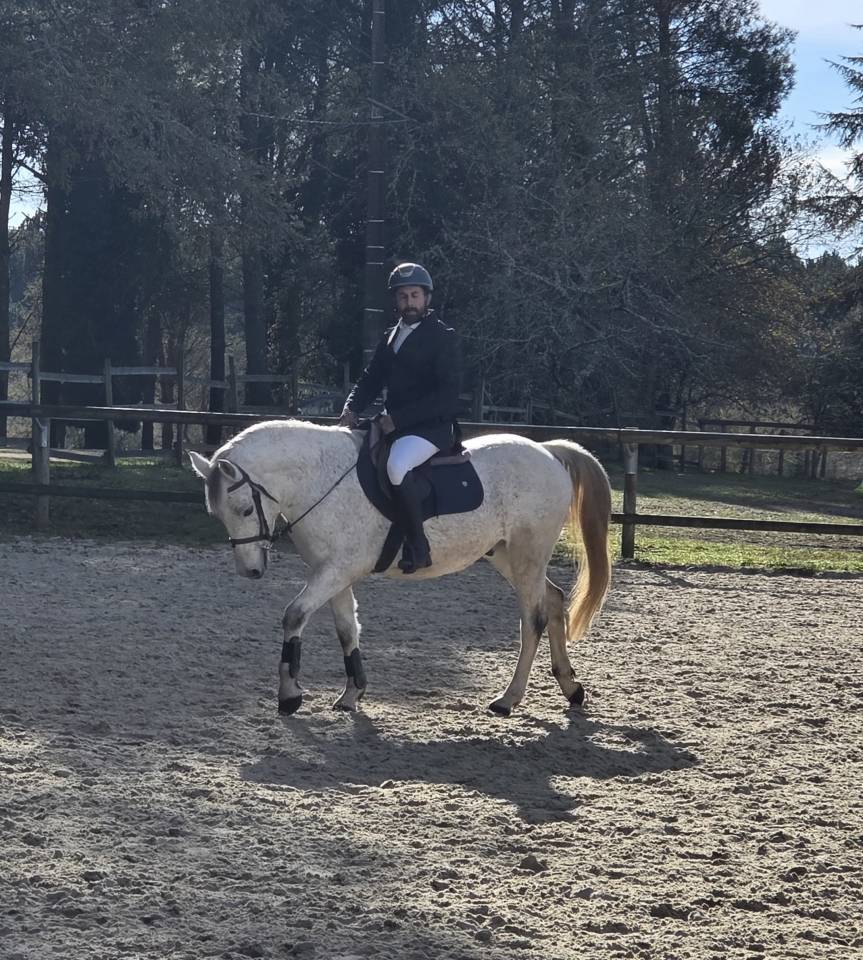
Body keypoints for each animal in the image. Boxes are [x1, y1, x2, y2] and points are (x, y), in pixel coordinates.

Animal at [189, 420, 612, 717]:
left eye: (245, 509)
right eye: (217, 515)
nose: (251, 571)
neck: (321, 480)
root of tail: (547, 451)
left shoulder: (336, 570)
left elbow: (293, 616)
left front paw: (290, 695)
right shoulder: (333, 573)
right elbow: (347, 629)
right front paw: (352, 693)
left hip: (527, 556)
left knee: (532, 620)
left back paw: (508, 699)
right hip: (507, 556)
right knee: (554, 601)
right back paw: (571, 688)